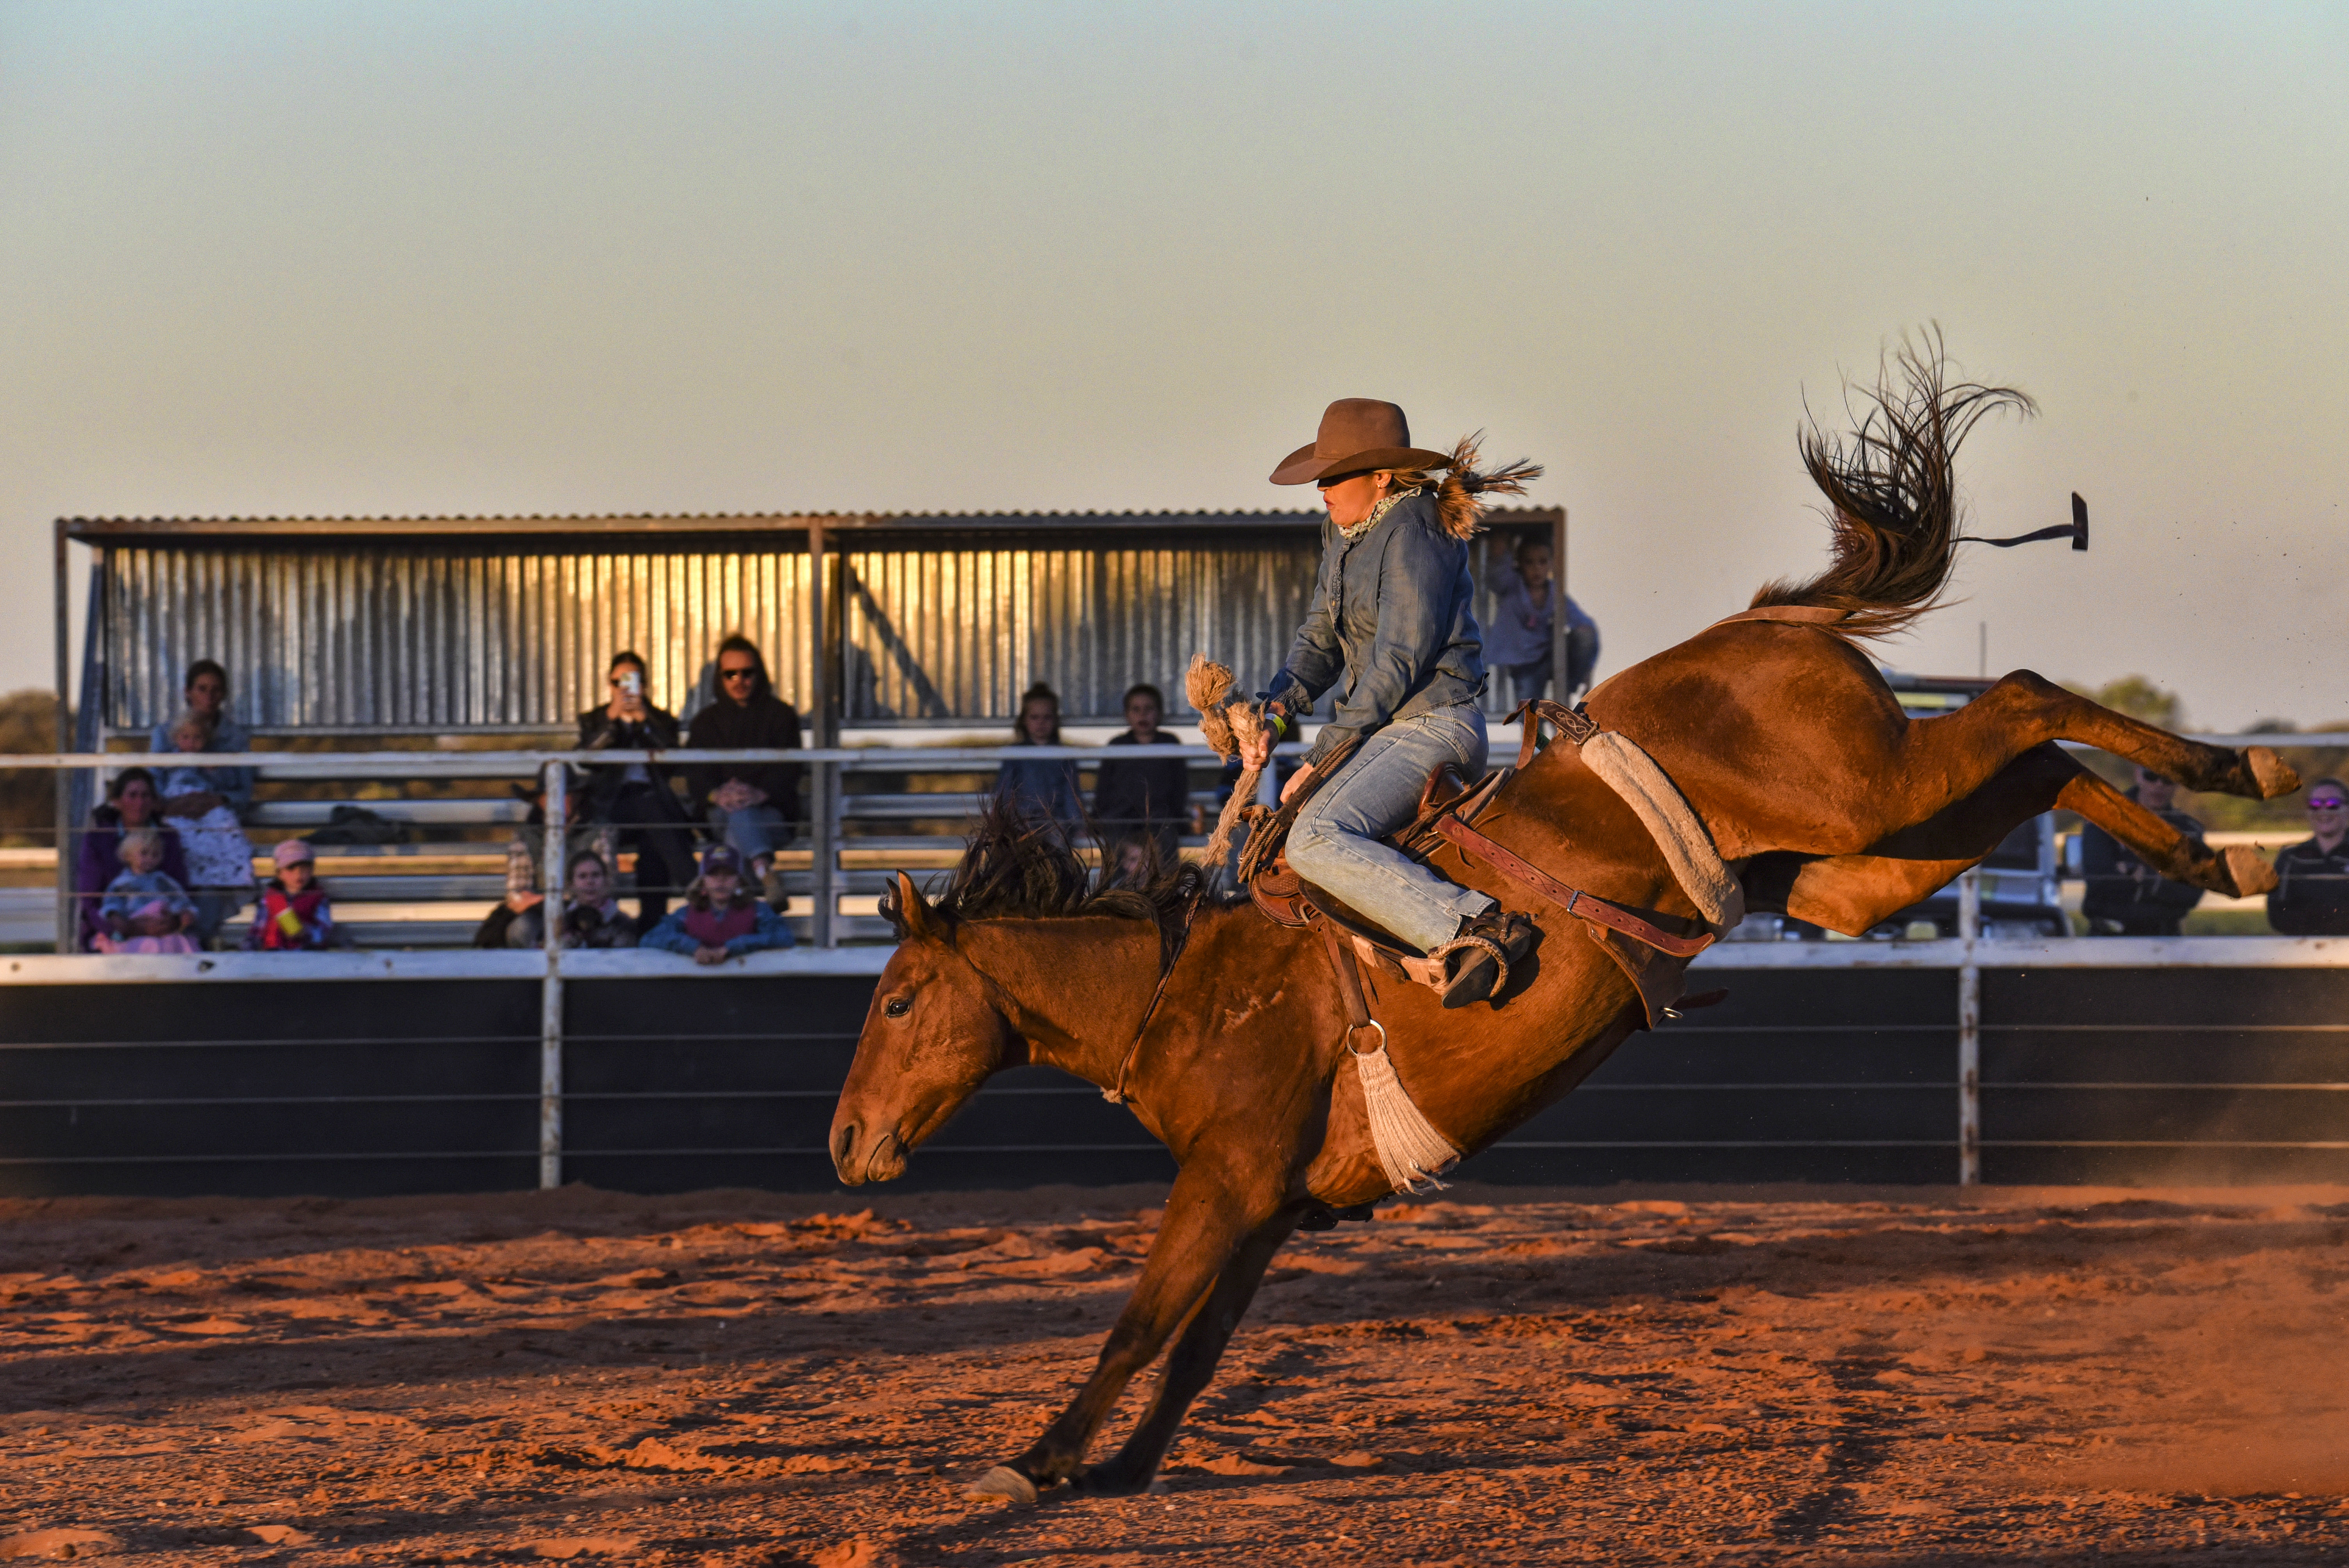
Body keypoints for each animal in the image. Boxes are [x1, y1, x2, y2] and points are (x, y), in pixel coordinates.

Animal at [826, 345, 2299, 1502]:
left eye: (894, 999)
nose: (845, 1143)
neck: (1189, 984)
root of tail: (1769, 622)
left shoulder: (1229, 1177)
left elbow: (1137, 1327)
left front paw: (1034, 1461)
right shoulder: (1266, 1202)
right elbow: (1192, 1349)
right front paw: (1123, 1466)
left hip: (1874, 789)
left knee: (2024, 689)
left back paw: (2249, 776)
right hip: (1856, 863)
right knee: (2035, 759)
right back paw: (2209, 841)